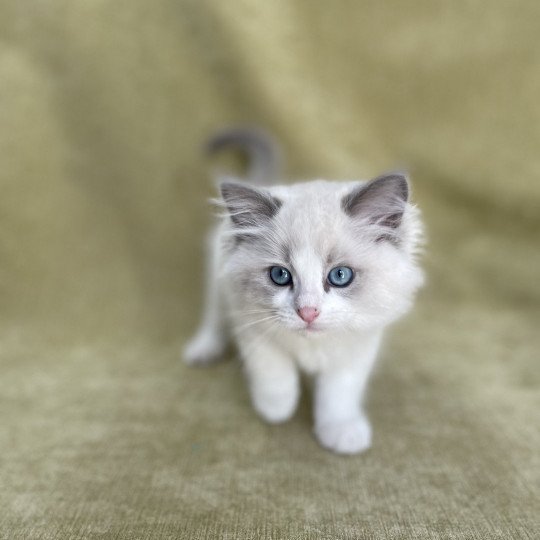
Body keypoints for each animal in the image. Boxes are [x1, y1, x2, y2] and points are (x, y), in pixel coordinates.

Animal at [184, 129, 424, 454]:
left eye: (340, 276)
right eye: (280, 275)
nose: (307, 312)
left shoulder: (359, 343)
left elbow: (339, 393)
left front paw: (340, 432)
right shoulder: (251, 325)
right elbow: (275, 373)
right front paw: (276, 410)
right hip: (216, 274)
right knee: (212, 316)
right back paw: (204, 349)